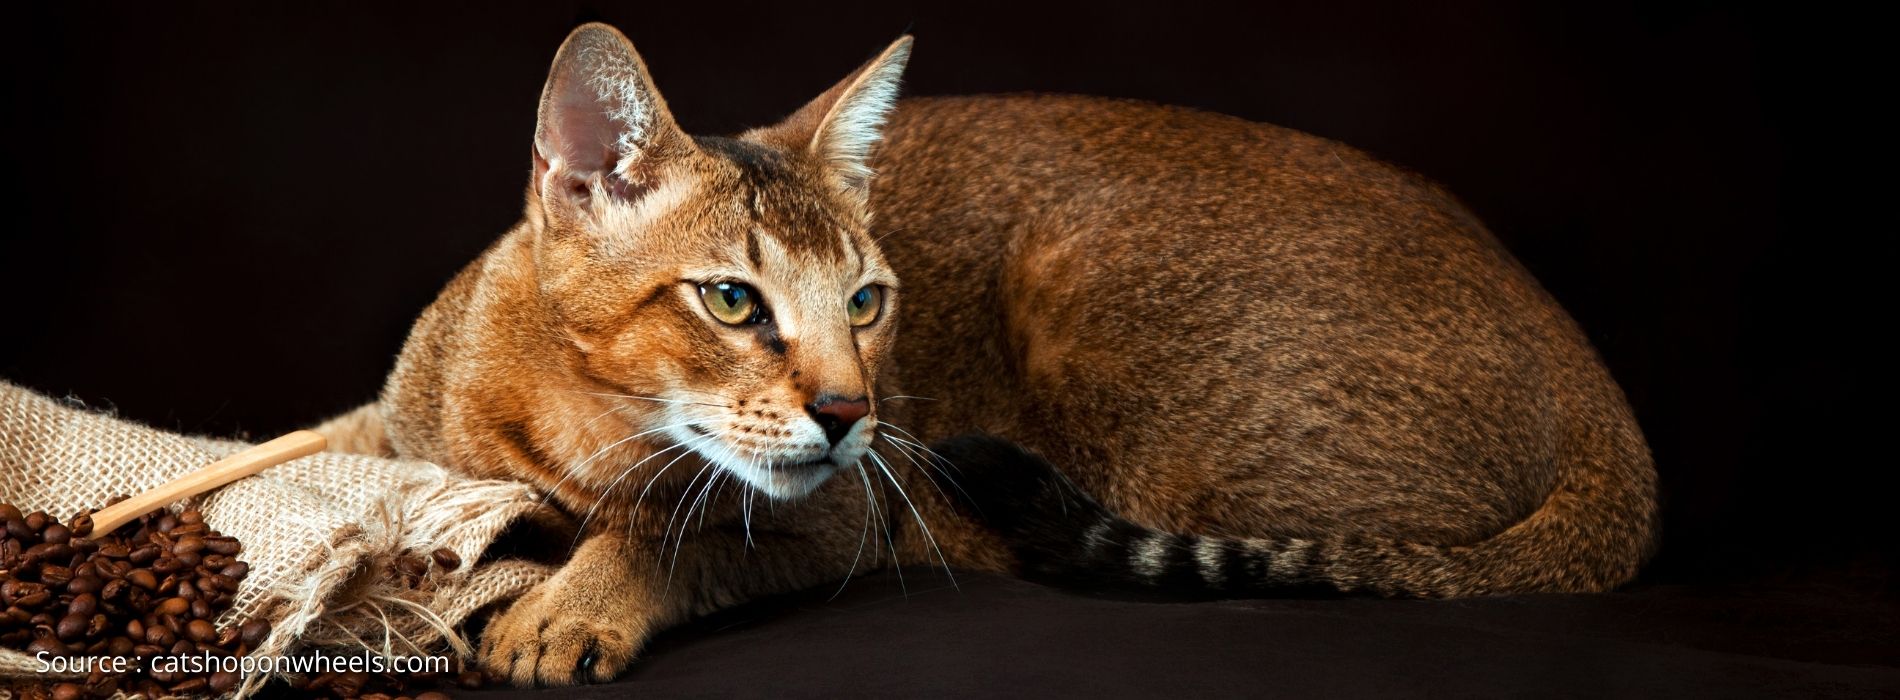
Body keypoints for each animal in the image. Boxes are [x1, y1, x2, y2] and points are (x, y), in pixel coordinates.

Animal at [319, 20, 1656, 684]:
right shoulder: (403, 429)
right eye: (733, 301)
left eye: (865, 300)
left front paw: (575, 601)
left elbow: (677, 530)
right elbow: (335, 449)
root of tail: (1598, 393)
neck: (569, 421)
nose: (850, 410)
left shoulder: (844, 511)